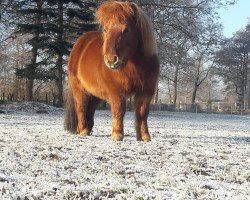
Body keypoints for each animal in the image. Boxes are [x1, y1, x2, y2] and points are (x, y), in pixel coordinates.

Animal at [63, 0, 159, 141]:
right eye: (105, 29)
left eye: (126, 30)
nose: (111, 60)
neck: (134, 65)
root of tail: (80, 43)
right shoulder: (116, 91)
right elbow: (119, 110)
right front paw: (117, 134)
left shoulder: (146, 92)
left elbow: (142, 113)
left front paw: (144, 136)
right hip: (79, 89)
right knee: (81, 108)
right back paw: (83, 131)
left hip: (95, 94)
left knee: (89, 110)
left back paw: (87, 130)